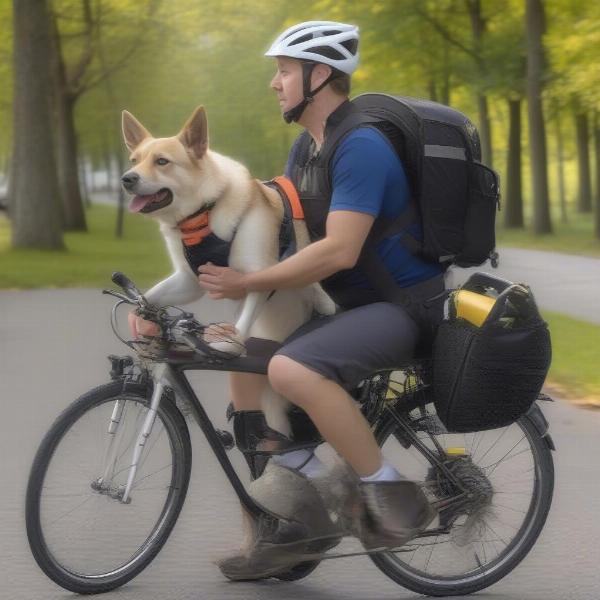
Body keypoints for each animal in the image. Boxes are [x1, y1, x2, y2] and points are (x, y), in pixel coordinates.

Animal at [119, 106, 336, 436]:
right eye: (134, 160)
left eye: (162, 162)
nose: (126, 179)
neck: (202, 213)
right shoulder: (188, 281)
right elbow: (154, 294)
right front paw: (142, 317)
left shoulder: (256, 273)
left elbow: (244, 319)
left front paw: (229, 344)